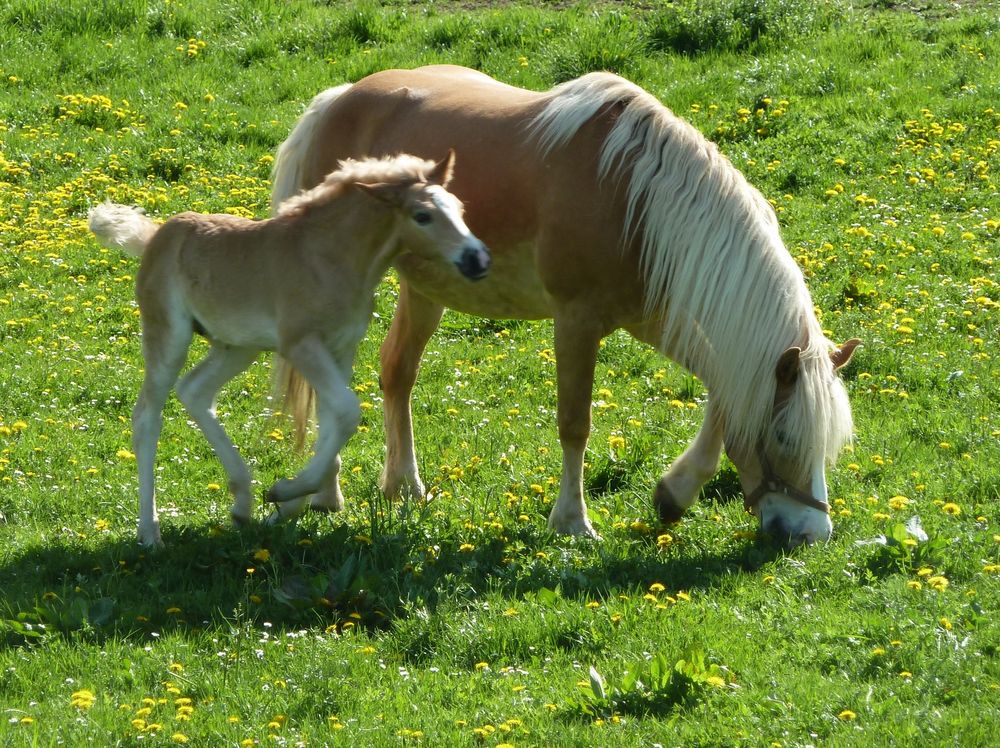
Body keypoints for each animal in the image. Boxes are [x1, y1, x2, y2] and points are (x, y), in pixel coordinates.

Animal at [92, 153, 490, 548]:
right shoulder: (300, 344)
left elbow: (332, 418)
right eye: (422, 215)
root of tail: (156, 236)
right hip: (169, 333)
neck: (328, 257)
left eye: (459, 208)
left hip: (238, 345)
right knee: (147, 416)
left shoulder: (341, 347)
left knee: (195, 390)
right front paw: (285, 492)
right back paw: (150, 531)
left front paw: (291, 504)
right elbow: (347, 410)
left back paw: (242, 501)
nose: (478, 260)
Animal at [268, 65, 860, 544]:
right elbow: (575, 423)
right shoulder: (577, 321)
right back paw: (325, 495)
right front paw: (573, 522)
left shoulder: (656, 317)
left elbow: (723, 391)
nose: (812, 532)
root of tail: (337, 100)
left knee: (397, 372)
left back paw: (404, 487)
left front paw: (675, 492)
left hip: (425, 289)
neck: (634, 195)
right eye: (784, 435)